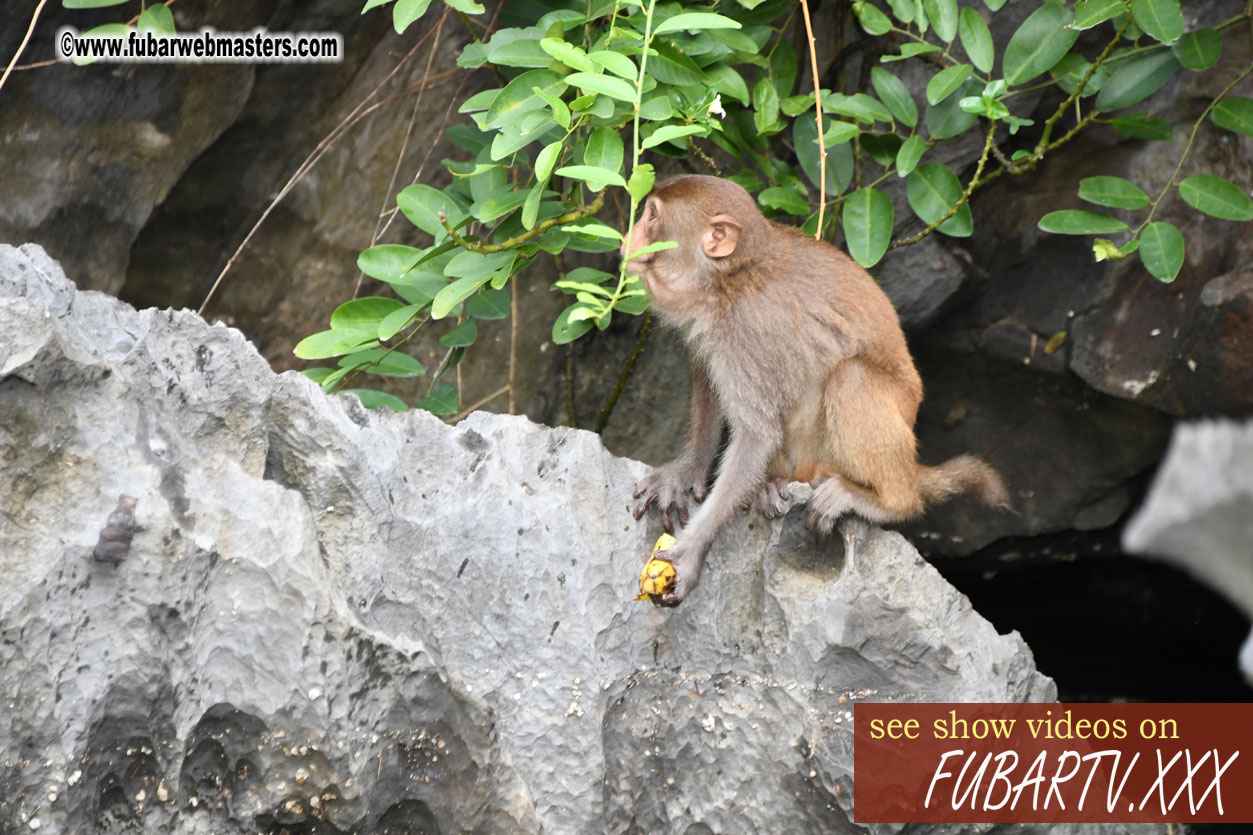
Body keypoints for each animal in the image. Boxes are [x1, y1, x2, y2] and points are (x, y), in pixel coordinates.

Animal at [626, 174, 1007, 604]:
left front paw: (692, 553)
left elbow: (757, 434)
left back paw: (889, 502)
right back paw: (771, 484)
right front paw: (685, 471)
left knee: (851, 377)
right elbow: (709, 379)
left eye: (651, 215)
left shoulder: (749, 326)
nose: (629, 237)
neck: (729, 278)